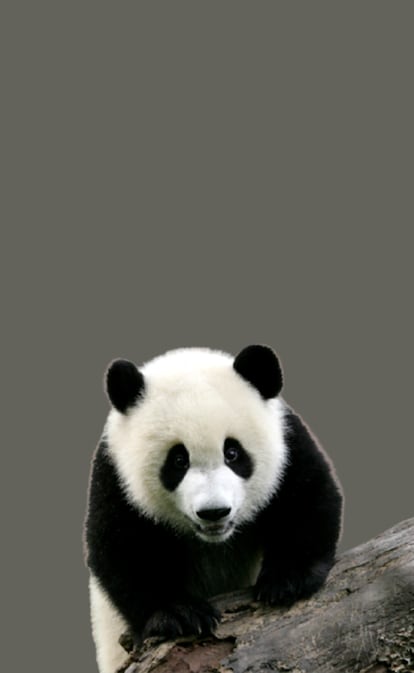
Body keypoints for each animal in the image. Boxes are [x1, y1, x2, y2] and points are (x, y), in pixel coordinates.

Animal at [84, 345, 343, 673]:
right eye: (178, 460)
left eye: (232, 452)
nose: (214, 512)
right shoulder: (116, 476)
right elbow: (123, 550)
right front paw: (180, 613)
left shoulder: (288, 445)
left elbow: (308, 499)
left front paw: (288, 581)